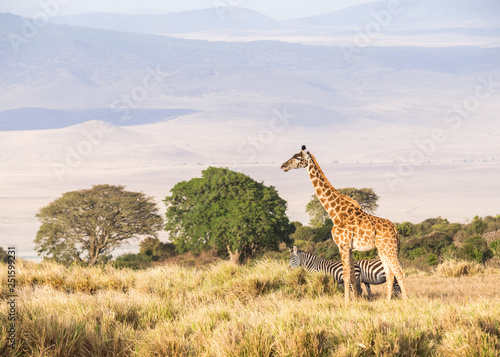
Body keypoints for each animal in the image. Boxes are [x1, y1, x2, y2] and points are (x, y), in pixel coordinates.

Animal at [280, 143, 408, 302]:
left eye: (297, 158)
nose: (283, 166)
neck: (335, 213)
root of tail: (396, 230)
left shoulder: (343, 245)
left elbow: (346, 276)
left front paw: (346, 302)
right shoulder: (350, 248)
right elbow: (352, 277)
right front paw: (355, 301)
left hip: (389, 248)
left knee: (400, 273)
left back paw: (406, 302)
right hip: (383, 249)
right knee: (390, 274)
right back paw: (387, 302)